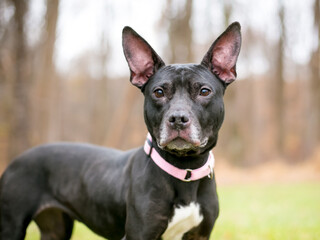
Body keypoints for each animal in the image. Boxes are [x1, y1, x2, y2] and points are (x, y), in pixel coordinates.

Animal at [0, 21, 240, 239]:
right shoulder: (139, 234)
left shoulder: (200, 234)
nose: (178, 119)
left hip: (55, 229)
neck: (185, 169)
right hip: (11, 226)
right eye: (159, 92)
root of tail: (16, 160)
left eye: (204, 91)